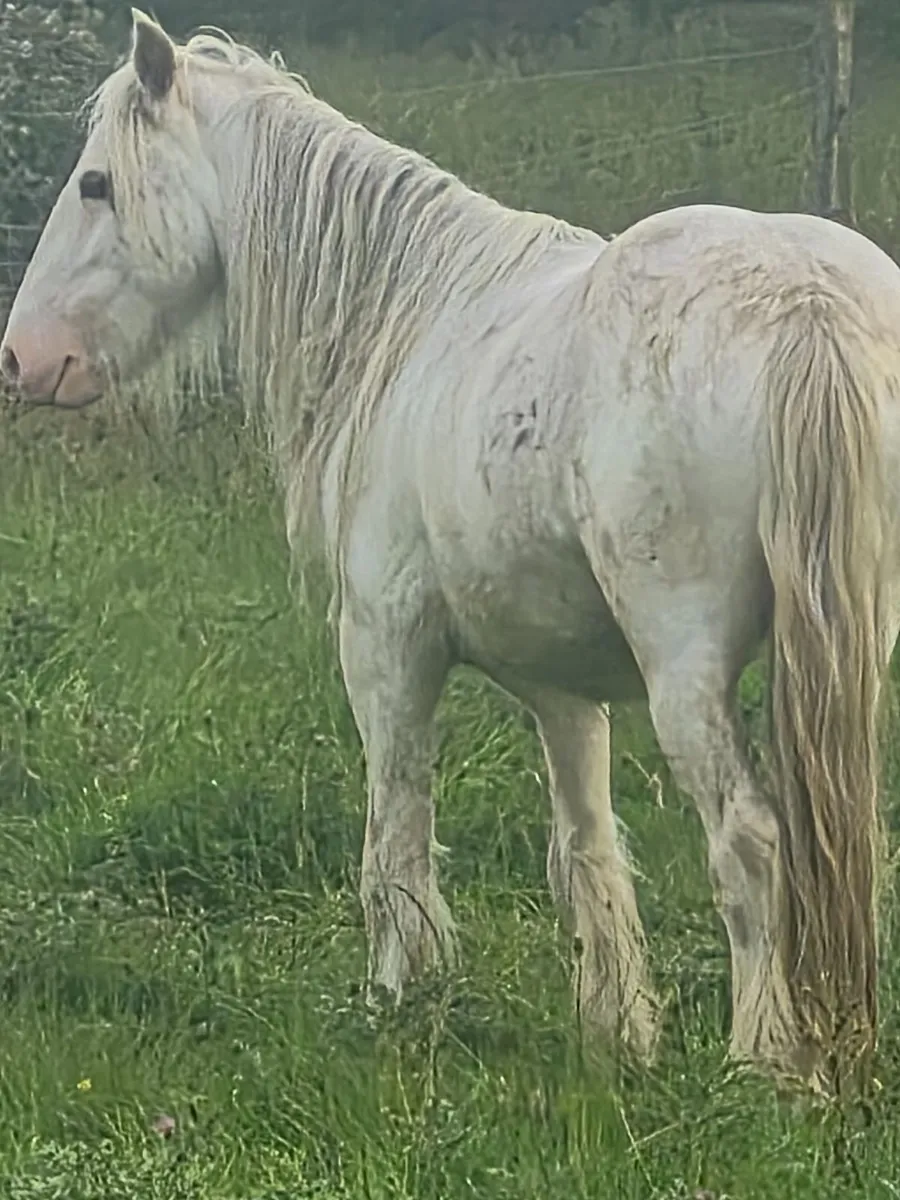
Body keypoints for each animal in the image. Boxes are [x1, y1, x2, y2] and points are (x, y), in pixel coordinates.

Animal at [4, 9, 900, 1097]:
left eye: (96, 184)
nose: (23, 357)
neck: (410, 316)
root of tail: (807, 303)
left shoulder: (386, 649)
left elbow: (395, 838)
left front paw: (398, 1006)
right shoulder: (565, 691)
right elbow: (587, 848)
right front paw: (618, 1034)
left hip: (686, 670)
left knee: (752, 842)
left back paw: (766, 1065)